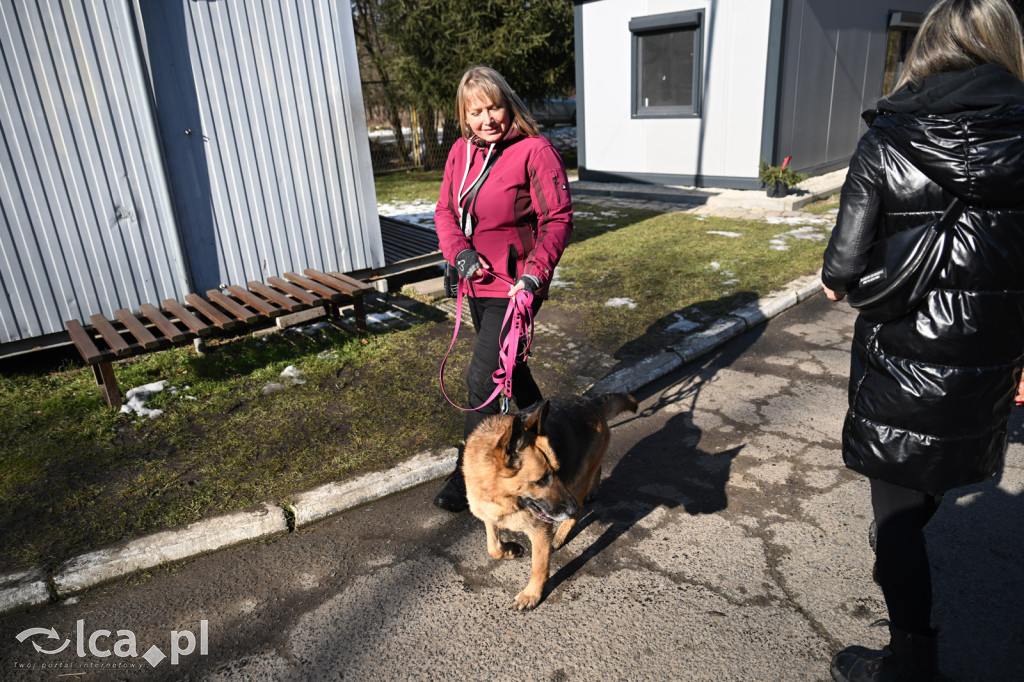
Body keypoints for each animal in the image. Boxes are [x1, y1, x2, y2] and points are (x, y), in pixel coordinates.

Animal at [466, 391, 638, 606]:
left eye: (557, 471)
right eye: (541, 480)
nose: (572, 508)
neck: (501, 497)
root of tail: (590, 402)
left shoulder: (540, 531)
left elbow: (539, 566)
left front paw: (532, 594)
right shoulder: (489, 517)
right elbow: (493, 548)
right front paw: (511, 550)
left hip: (577, 483)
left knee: (582, 502)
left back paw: (561, 535)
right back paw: (591, 491)